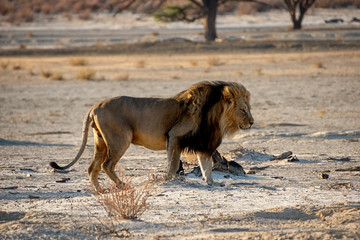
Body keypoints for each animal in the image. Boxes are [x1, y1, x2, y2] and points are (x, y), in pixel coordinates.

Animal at [50, 80, 253, 191]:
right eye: (243, 110)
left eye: (249, 109)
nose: (252, 122)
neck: (216, 118)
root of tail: (95, 105)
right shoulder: (175, 136)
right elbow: (173, 164)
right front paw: (170, 180)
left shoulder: (203, 144)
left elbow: (206, 167)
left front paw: (211, 183)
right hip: (120, 140)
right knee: (107, 165)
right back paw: (123, 185)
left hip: (101, 142)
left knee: (92, 168)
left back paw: (100, 191)